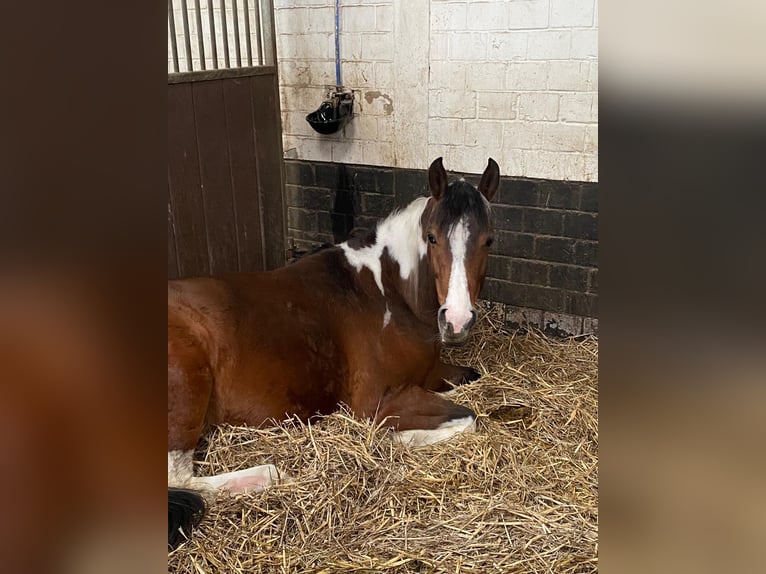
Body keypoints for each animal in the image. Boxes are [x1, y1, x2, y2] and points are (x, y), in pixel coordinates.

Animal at [168, 157, 499, 549]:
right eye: (432, 237)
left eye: (489, 240)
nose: (457, 320)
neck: (388, 292)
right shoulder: (378, 402)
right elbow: (468, 419)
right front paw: (393, 440)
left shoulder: (435, 374)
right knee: (180, 479)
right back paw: (269, 475)